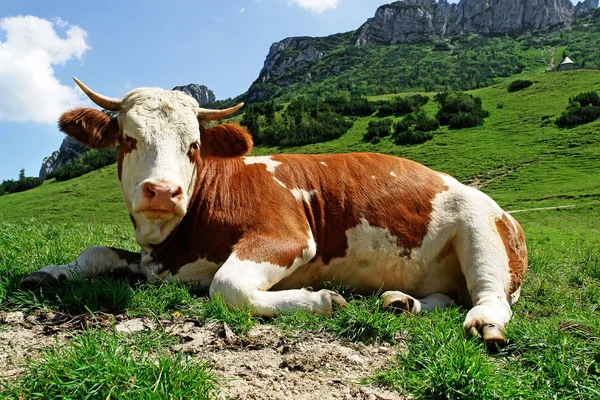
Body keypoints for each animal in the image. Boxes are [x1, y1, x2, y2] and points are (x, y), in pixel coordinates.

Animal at [21, 77, 528, 346]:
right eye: (128, 139)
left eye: (193, 146)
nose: (163, 192)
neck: (175, 245)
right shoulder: (154, 262)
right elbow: (95, 254)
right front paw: (49, 273)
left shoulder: (287, 235)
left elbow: (226, 286)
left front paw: (321, 300)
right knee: (447, 297)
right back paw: (401, 303)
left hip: (480, 228)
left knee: (489, 295)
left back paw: (485, 323)